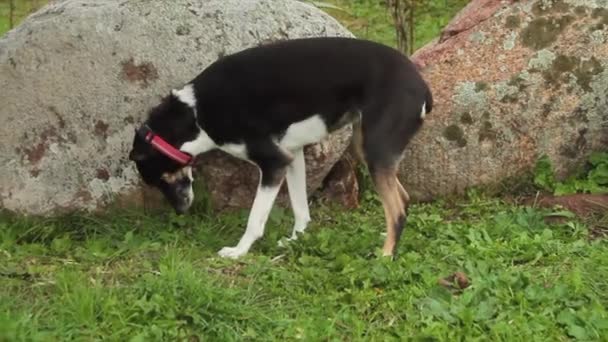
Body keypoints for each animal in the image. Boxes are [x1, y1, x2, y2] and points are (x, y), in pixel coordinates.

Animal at [128, 36, 432, 258]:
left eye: (160, 180)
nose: (180, 212)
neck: (194, 113)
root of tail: (422, 87)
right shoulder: (292, 157)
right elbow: (301, 209)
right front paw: (296, 240)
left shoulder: (273, 164)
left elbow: (255, 218)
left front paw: (238, 251)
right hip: (365, 148)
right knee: (403, 198)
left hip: (375, 152)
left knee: (397, 208)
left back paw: (385, 256)